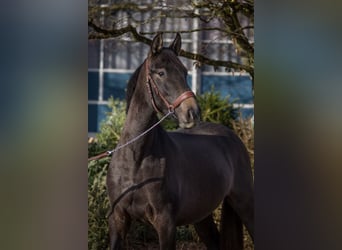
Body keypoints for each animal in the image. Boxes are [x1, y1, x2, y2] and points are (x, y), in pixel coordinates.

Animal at [107, 33, 254, 250]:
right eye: (160, 73)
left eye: (185, 72)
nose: (192, 112)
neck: (136, 159)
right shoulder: (118, 220)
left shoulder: (165, 223)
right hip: (202, 217)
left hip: (245, 204)